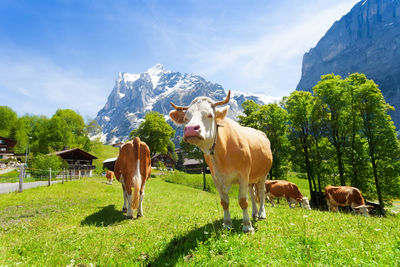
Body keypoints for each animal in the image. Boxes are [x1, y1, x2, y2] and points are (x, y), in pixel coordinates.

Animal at [170, 91, 274, 233]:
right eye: (186, 118)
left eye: (210, 115)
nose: (191, 129)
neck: (222, 154)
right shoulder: (216, 177)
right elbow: (224, 202)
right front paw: (227, 224)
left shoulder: (243, 174)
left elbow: (243, 201)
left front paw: (247, 226)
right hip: (251, 177)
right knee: (252, 194)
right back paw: (254, 213)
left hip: (263, 174)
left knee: (262, 192)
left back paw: (262, 214)